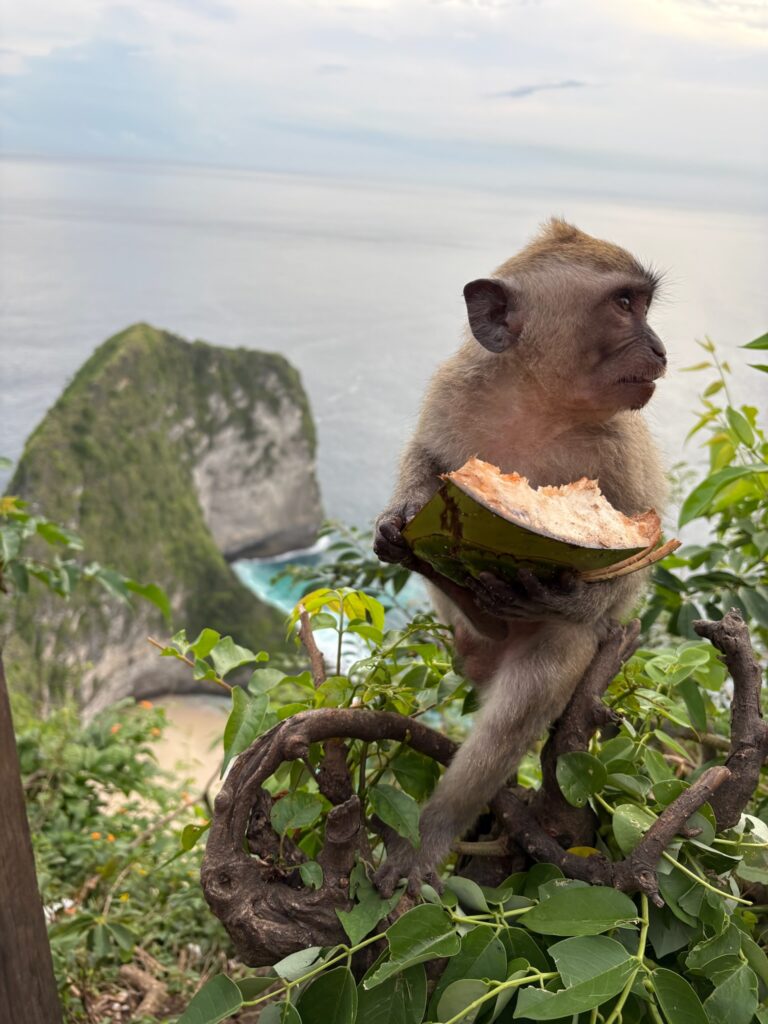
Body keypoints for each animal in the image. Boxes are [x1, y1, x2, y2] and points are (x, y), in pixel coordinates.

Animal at [372, 218, 668, 895]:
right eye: (624, 304)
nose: (661, 349)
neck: (539, 404)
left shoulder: (622, 446)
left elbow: (637, 556)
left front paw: (563, 591)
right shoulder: (455, 388)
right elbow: (427, 458)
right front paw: (394, 524)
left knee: (532, 690)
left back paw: (431, 834)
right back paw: (464, 595)